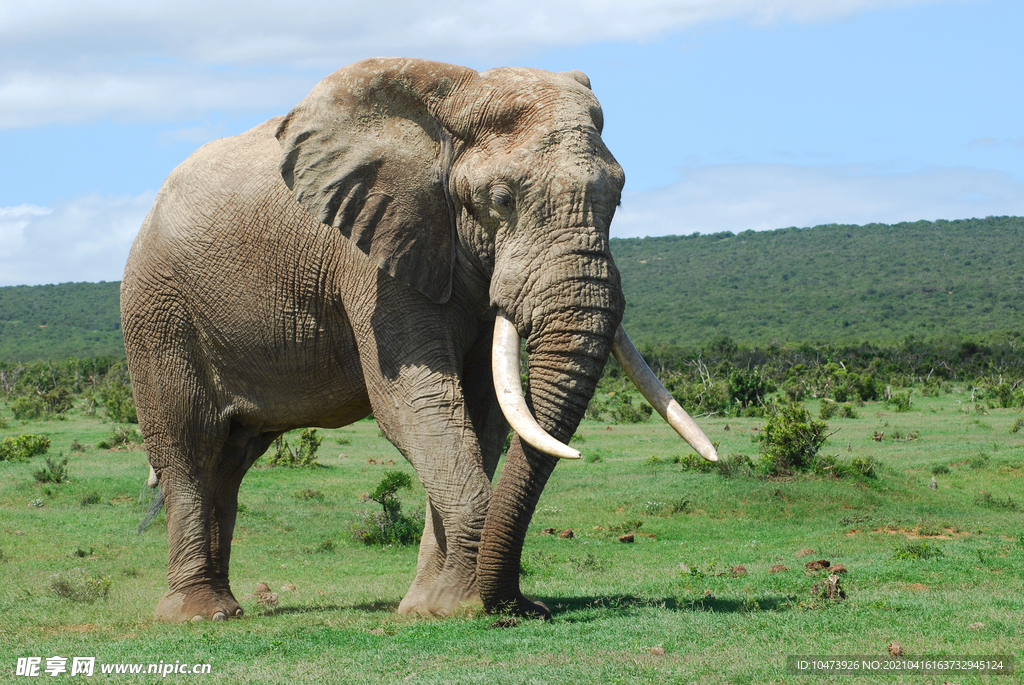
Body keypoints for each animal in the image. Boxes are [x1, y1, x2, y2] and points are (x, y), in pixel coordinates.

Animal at [123, 58, 716, 622]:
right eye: (502, 200)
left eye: (618, 197)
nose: (525, 608)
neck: (453, 102)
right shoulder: (373, 257)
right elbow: (418, 404)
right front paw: (463, 607)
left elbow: (480, 414)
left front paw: (440, 607)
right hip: (158, 311)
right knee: (190, 448)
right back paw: (200, 616)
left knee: (231, 460)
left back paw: (223, 606)